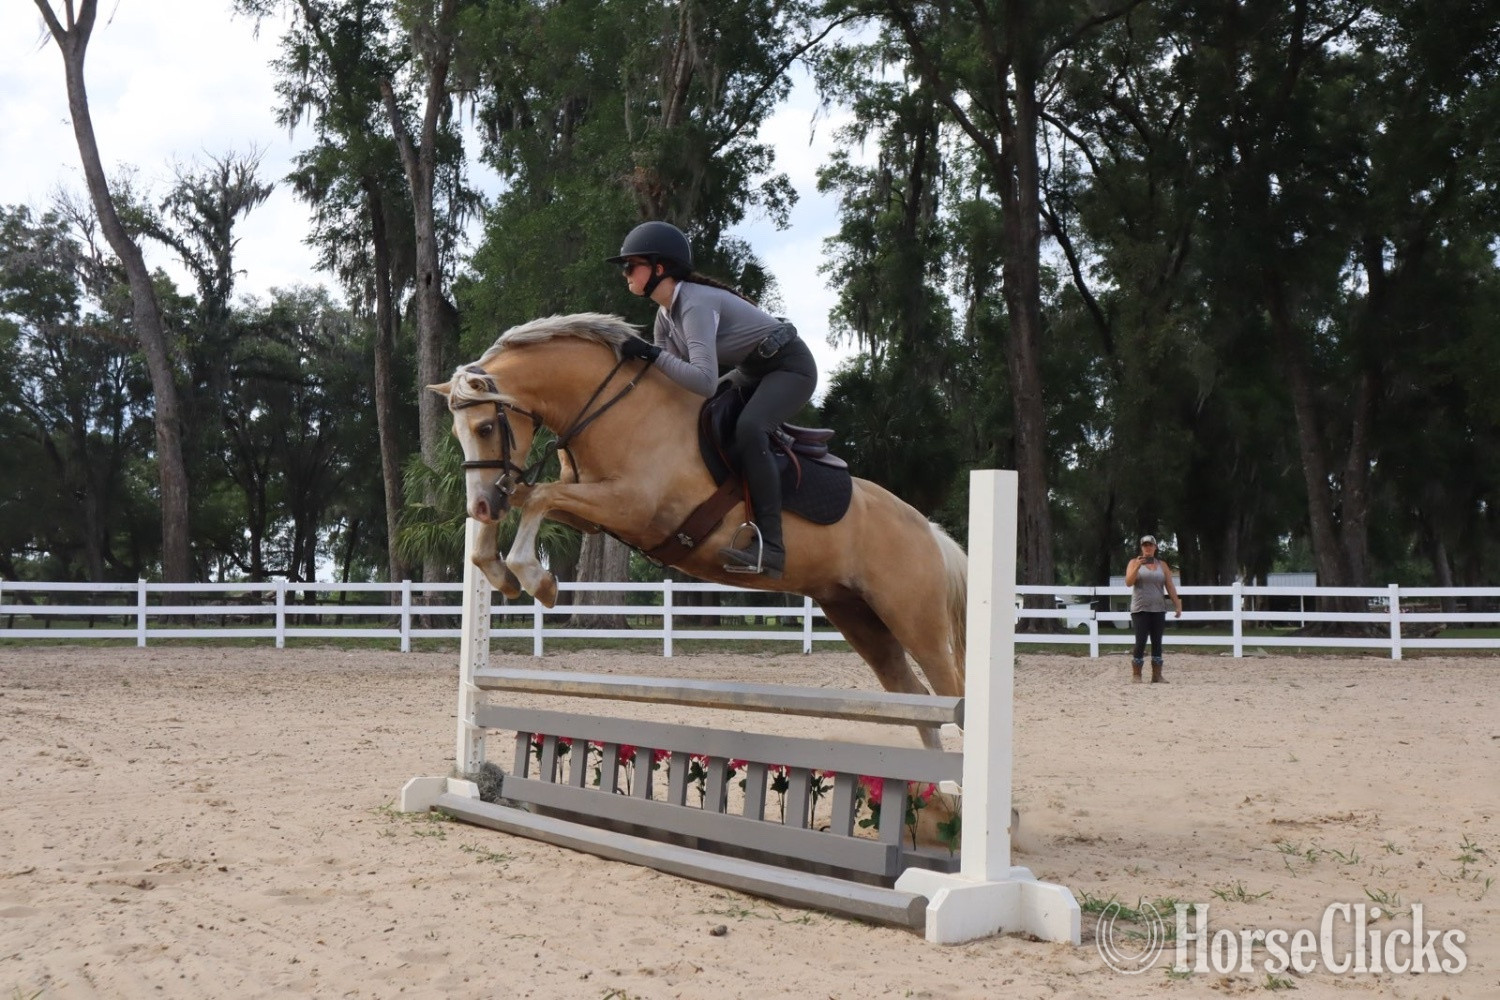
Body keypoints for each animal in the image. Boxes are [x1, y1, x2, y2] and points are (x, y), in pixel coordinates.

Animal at [428, 313, 968, 749]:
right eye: (457, 432)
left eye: (484, 429)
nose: (481, 503)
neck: (616, 408)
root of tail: (929, 532)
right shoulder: (594, 508)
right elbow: (527, 500)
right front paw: (498, 569)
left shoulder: (629, 504)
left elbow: (537, 496)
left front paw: (536, 579)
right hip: (857, 615)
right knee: (916, 700)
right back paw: (936, 797)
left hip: (913, 619)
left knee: (952, 695)